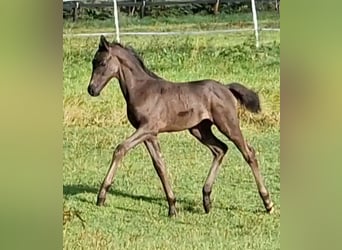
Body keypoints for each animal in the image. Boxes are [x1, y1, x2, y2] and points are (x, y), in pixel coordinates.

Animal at [87, 35, 274, 217]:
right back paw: (206, 199)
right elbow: (159, 165)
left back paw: (268, 203)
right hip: (199, 129)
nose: (92, 89)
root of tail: (227, 88)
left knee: (248, 153)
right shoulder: (149, 134)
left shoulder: (147, 128)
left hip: (228, 124)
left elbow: (120, 149)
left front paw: (101, 196)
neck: (142, 90)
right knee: (220, 149)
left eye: (102, 63)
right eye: (93, 62)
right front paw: (172, 206)